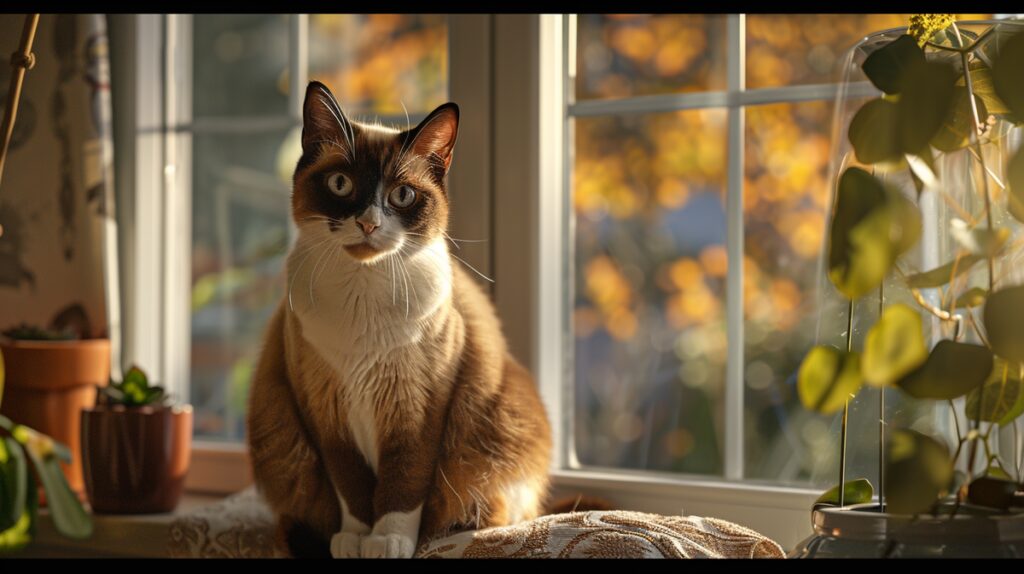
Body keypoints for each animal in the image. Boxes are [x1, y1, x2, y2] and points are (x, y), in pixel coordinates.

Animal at [246, 82, 552, 556]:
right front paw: (354, 540)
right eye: (341, 184)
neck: (363, 291)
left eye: (402, 195)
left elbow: (403, 484)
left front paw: (387, 541)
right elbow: (352, 488)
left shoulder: (417, 407)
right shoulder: (327, 413)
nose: (369, 224)